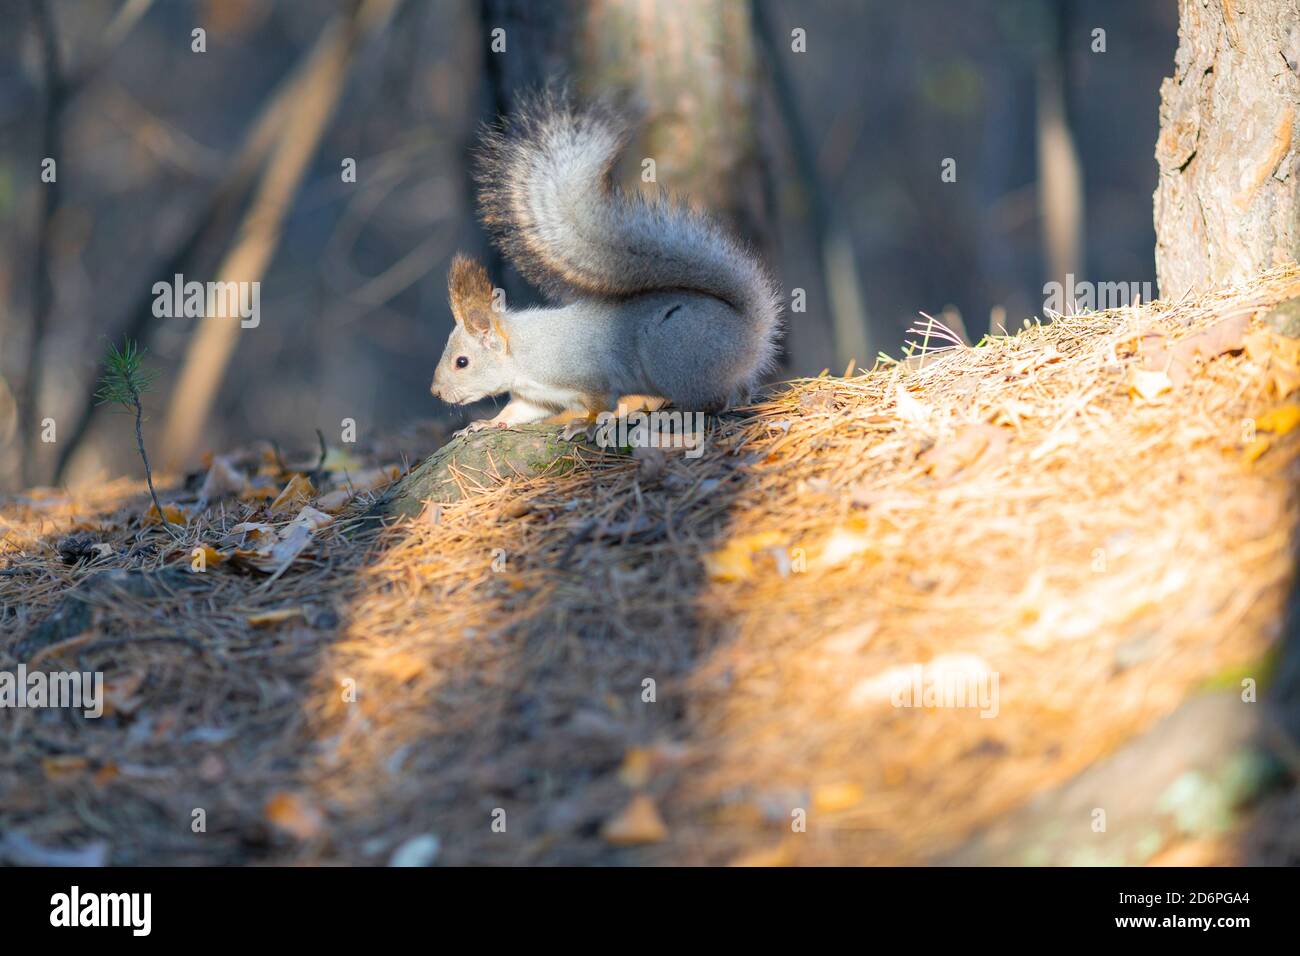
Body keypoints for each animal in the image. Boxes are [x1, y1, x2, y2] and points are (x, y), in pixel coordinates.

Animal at [429, 93, 783, 434]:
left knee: (713, 402)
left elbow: (599, 403)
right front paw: (487, 423)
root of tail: (751, 334)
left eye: (462, 362)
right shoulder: (536, 396)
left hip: (674, 352)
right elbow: (520, 411)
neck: (523, 354)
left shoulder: (589, 377)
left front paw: (581, 424)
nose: (435, 392)